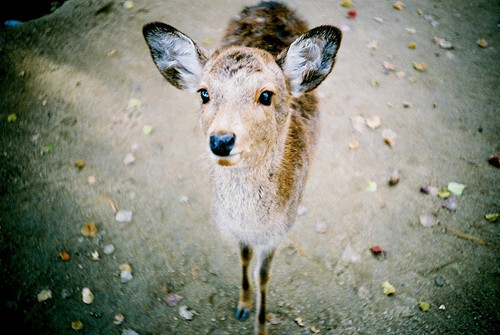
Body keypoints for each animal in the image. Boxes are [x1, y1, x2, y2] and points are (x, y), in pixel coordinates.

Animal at [143, 1, 342, 334]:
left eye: (266, 95)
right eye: (204, 93)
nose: (221, 140)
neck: (253, 222)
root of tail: (271, 4)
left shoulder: (280, 231)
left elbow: (264, 276)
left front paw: (261, 324)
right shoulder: (235, 229)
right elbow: (245, 258)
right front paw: (243, 305)